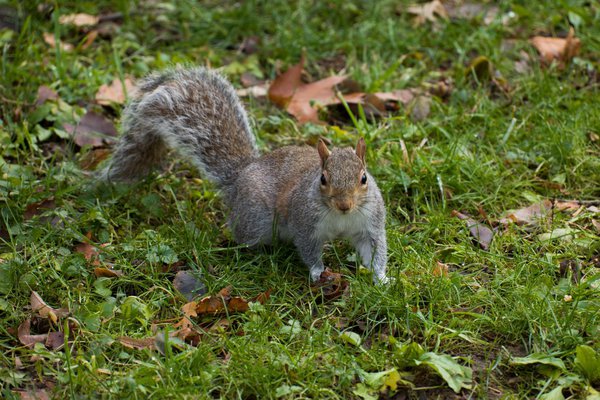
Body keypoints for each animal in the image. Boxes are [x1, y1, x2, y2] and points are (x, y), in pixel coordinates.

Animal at [99, 67, 390, 282]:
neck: (343, 219)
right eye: (323, 179)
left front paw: (381, 278)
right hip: (256, 218)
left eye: (364, 178)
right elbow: (308, 249)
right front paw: (318, 272)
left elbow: (375, 249)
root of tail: (241, 176)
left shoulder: (369, 223)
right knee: (242, 236)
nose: (344, 205)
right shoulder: (305, 223)